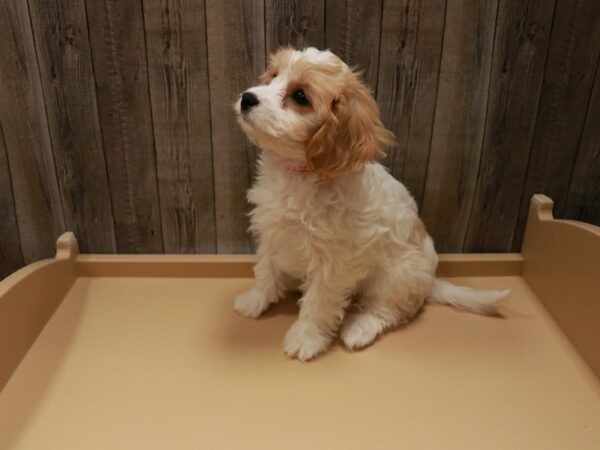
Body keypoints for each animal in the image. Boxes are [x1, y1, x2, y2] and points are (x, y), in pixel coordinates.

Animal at [232, 47, 508, 360]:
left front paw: (306, 337)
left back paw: (360, 328)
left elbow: (318, 302)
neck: (297, 173)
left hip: (396, 279)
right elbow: (265, 270)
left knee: (389, 310)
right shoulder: (271, 231)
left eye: (300, 96)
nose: (248, 97)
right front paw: (254, 301)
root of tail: (428, 283)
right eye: (273, 76)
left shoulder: (333, 263)